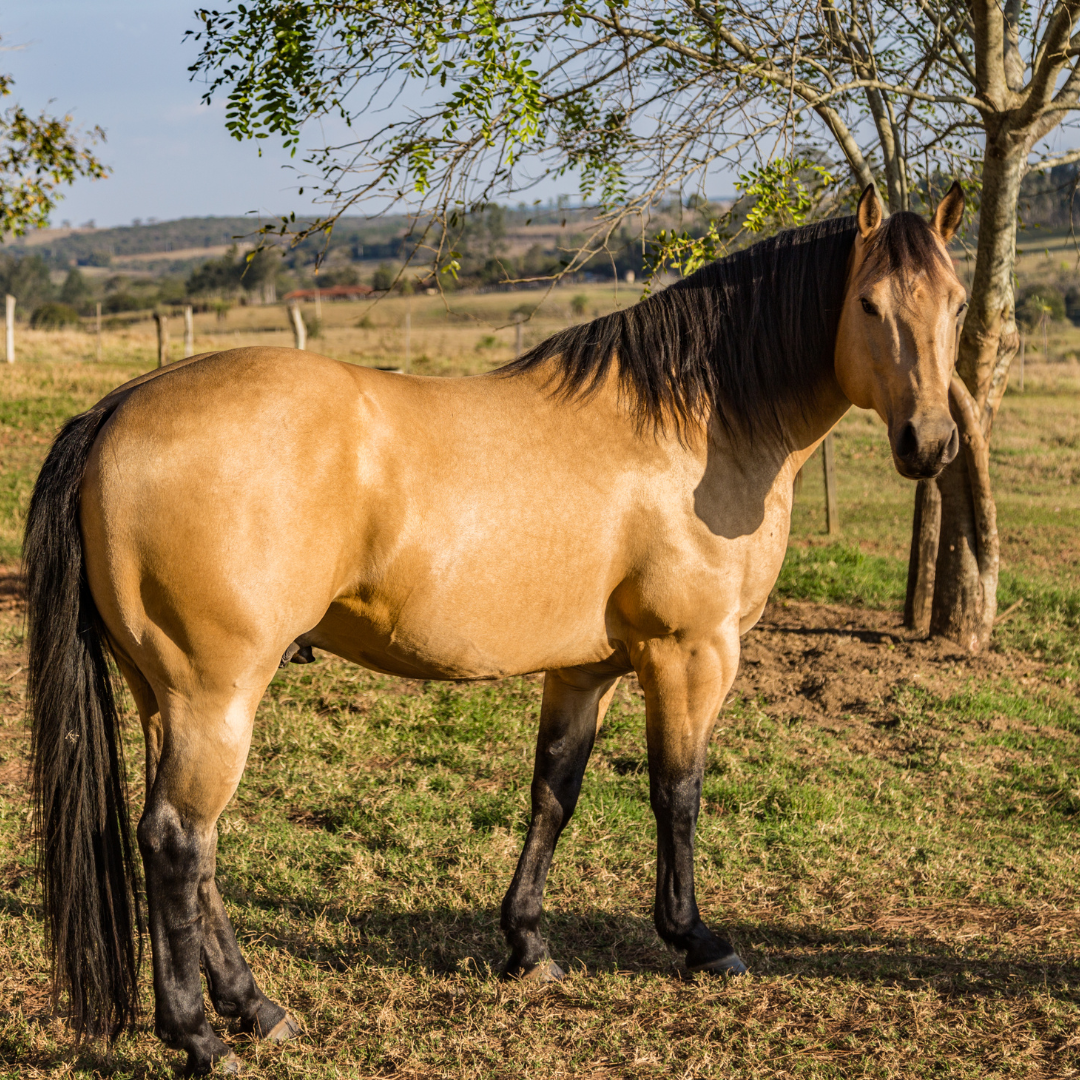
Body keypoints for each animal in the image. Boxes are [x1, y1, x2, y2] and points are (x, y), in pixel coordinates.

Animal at [25, 184, 967, 1074]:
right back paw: (199, 1037)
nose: (930, 443)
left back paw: (258, 1009)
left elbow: (554, 793)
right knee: (176, 842)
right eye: (870, 303)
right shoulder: (692, 653)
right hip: (215, 695)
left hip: (166, 697)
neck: (695, 429)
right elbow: (678, 792)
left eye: (955, 304)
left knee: (198, 850)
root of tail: (117, 411)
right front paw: (697, 941)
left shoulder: (584, 670)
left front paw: (528, 945)